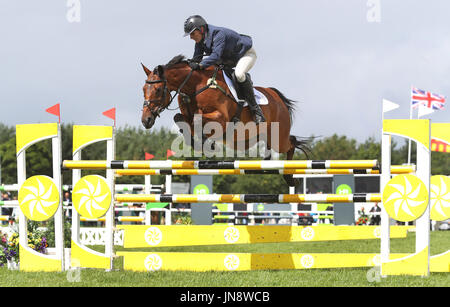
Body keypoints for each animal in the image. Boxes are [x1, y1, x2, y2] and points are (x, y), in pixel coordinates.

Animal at [141, 54, 310, 186]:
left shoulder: (221, 118)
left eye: (157, 90)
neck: (194, 86)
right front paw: (198, 143)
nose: (145, 120)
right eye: (143, 90)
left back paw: (289, 177)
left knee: (291, 143)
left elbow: (197, 120)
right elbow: (181, 119)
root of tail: (277, 97)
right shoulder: (187, 115)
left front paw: (207, 144)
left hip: (278, 138)